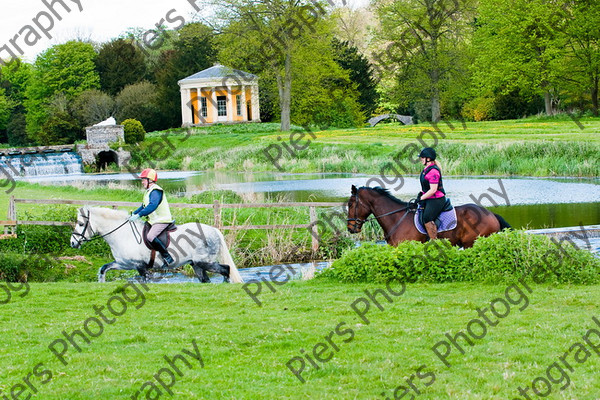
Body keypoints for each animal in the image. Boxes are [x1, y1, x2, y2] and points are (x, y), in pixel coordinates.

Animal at [72, 206, 244, 284]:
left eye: (80, 224)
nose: (73, 243)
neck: (123, 234)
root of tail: (214, 230)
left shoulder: (140, 266)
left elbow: (144, 281)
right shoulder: (124, 264)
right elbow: (104, 268)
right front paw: (101, 283)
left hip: (204, 262)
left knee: (225, 269)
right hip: (196, 264)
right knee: (207, 279)